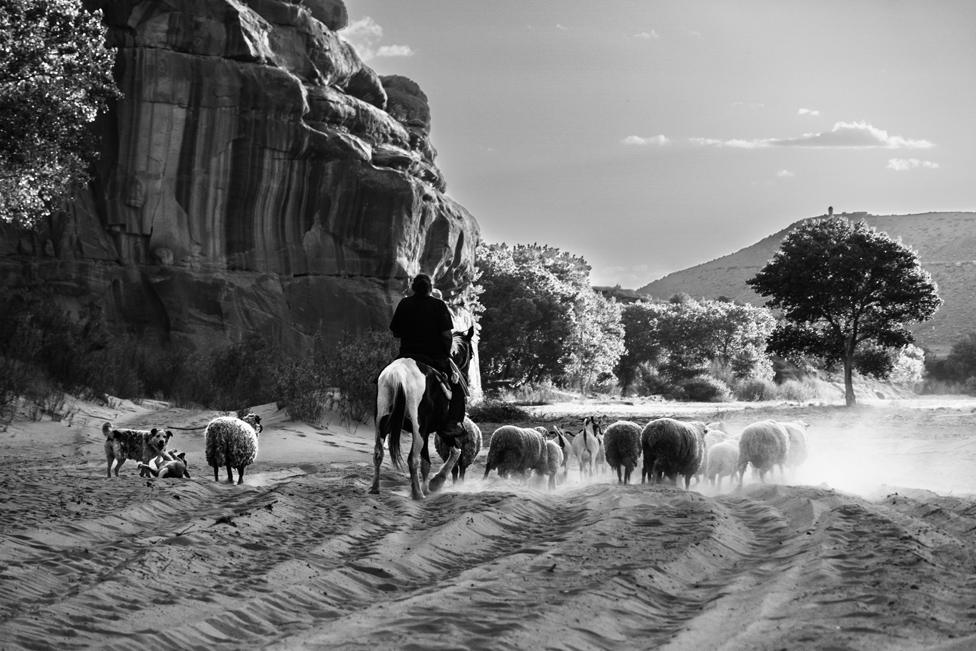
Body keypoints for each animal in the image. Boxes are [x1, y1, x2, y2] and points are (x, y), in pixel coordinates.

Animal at [370, 326, 476, 500]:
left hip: (383, 423)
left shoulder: (426, 431)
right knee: (412, 458)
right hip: (419, 429)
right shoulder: (443, 429)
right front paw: (435, 482)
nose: (467, 378)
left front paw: (427, 486)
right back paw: (418, 493)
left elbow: (426, 462)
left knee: (378, 453)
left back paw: (375, 488)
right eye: (471, 354)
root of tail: (398, 374)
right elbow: (455, 452)